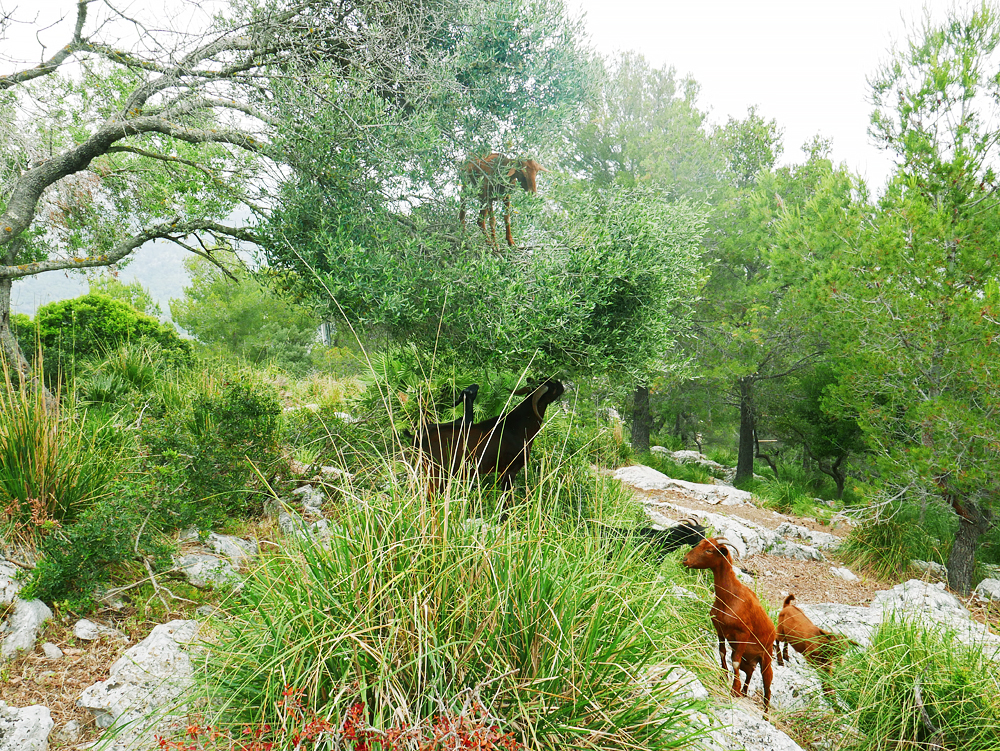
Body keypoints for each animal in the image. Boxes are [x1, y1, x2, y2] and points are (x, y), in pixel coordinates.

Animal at [684, 536, 776, 712]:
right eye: (699, 544)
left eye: (709, 550)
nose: (685, 559)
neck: (730, 597)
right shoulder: (720, 630)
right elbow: (722, 653)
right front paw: (724, 677)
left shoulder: (743, 634)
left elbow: (735, 661)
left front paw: (735, 690)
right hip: (751, 659)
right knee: (750, 671)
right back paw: (745, 692)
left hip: (766, 657)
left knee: (767, 687)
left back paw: (765, 713)